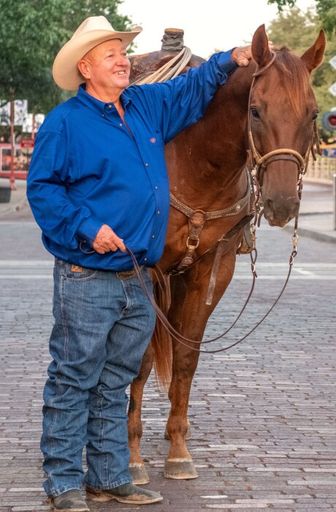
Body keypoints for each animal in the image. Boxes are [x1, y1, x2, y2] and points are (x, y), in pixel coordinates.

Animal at [126, 24, 326, 482]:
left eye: (311, 114)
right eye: (255, 110)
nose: (282, 202)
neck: (195, 159)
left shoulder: (211, 270)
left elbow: (186, 358)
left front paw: (178, 449)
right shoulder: (148, 271)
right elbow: (140, 359)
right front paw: (132, 457)